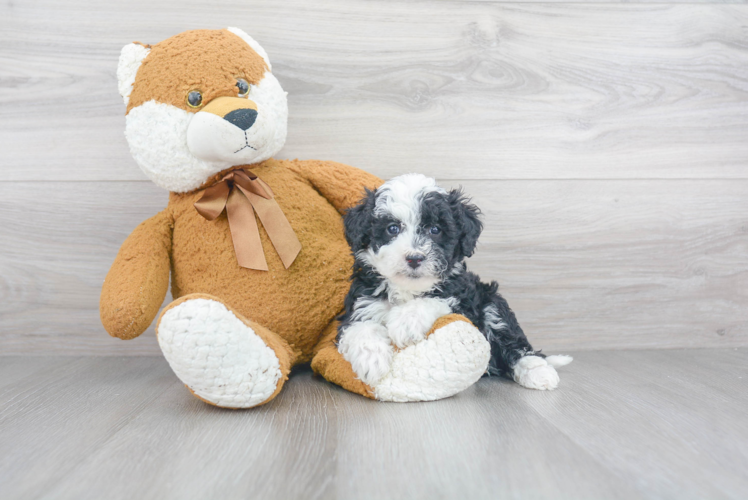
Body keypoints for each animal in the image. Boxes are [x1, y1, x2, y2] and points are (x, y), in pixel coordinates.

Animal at [338, 174, 572, 388]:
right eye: (392, 228)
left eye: (435, 230)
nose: (414, 258)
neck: (408, 290)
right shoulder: (361, 303)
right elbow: (360, 327)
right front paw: (372, 361)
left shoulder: (463, 301)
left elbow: (434, 300)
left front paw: (406, 322)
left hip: (492, 302)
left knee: (515, 342)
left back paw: (538, 371)